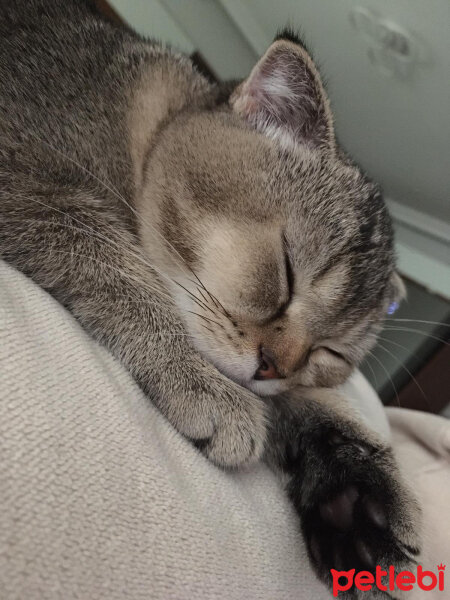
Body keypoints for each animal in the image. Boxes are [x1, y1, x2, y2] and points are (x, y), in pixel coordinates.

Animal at [0, 1, 422, 596]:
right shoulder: (31, 186)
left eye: (332, 354)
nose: (273, 365)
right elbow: (114, 262)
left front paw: (356, 493)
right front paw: (201, 384)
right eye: (285, 273)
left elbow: (294, 401)